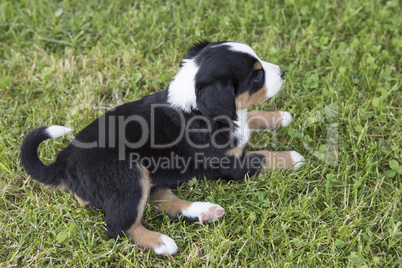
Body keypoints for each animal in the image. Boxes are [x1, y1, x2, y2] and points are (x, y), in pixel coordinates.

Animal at [20, 40, 304, 255]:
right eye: (257, 76)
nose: (282, 71)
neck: (197, 109)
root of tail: (64, 161)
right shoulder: (229, 164)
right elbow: (264, 157)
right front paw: (295, 157)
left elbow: (249, 116)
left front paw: (279, 116)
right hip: (129, 176)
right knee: (119, 226)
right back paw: (161, 242)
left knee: (160, 202)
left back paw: (204, 211)